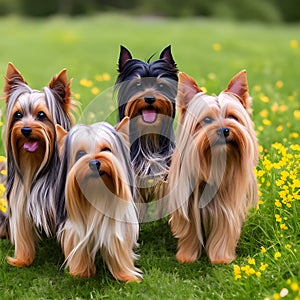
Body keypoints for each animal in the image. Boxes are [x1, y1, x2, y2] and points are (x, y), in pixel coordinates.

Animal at [2, 62, 77, 266]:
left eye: (42, 115)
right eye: (18, 115)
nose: (25, 129)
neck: (36, 164)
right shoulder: (21, 200)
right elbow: (22, 232)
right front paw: (22, 260)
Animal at [56, 118, 143, 282]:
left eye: (106, 149)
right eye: (80, 153)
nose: (94, 163)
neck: (97, 191)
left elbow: (120, 248)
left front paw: (127, 276)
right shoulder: (75, 229)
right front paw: (80, 273)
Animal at [169, 70, 258, 264]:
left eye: (232, 117)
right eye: (207, 119)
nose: (224, 130)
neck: (214, 161)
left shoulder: (227, 203)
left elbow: (224, 230)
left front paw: (221, 258)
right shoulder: (188, 204)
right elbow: (189, 231)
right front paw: (186, 256)